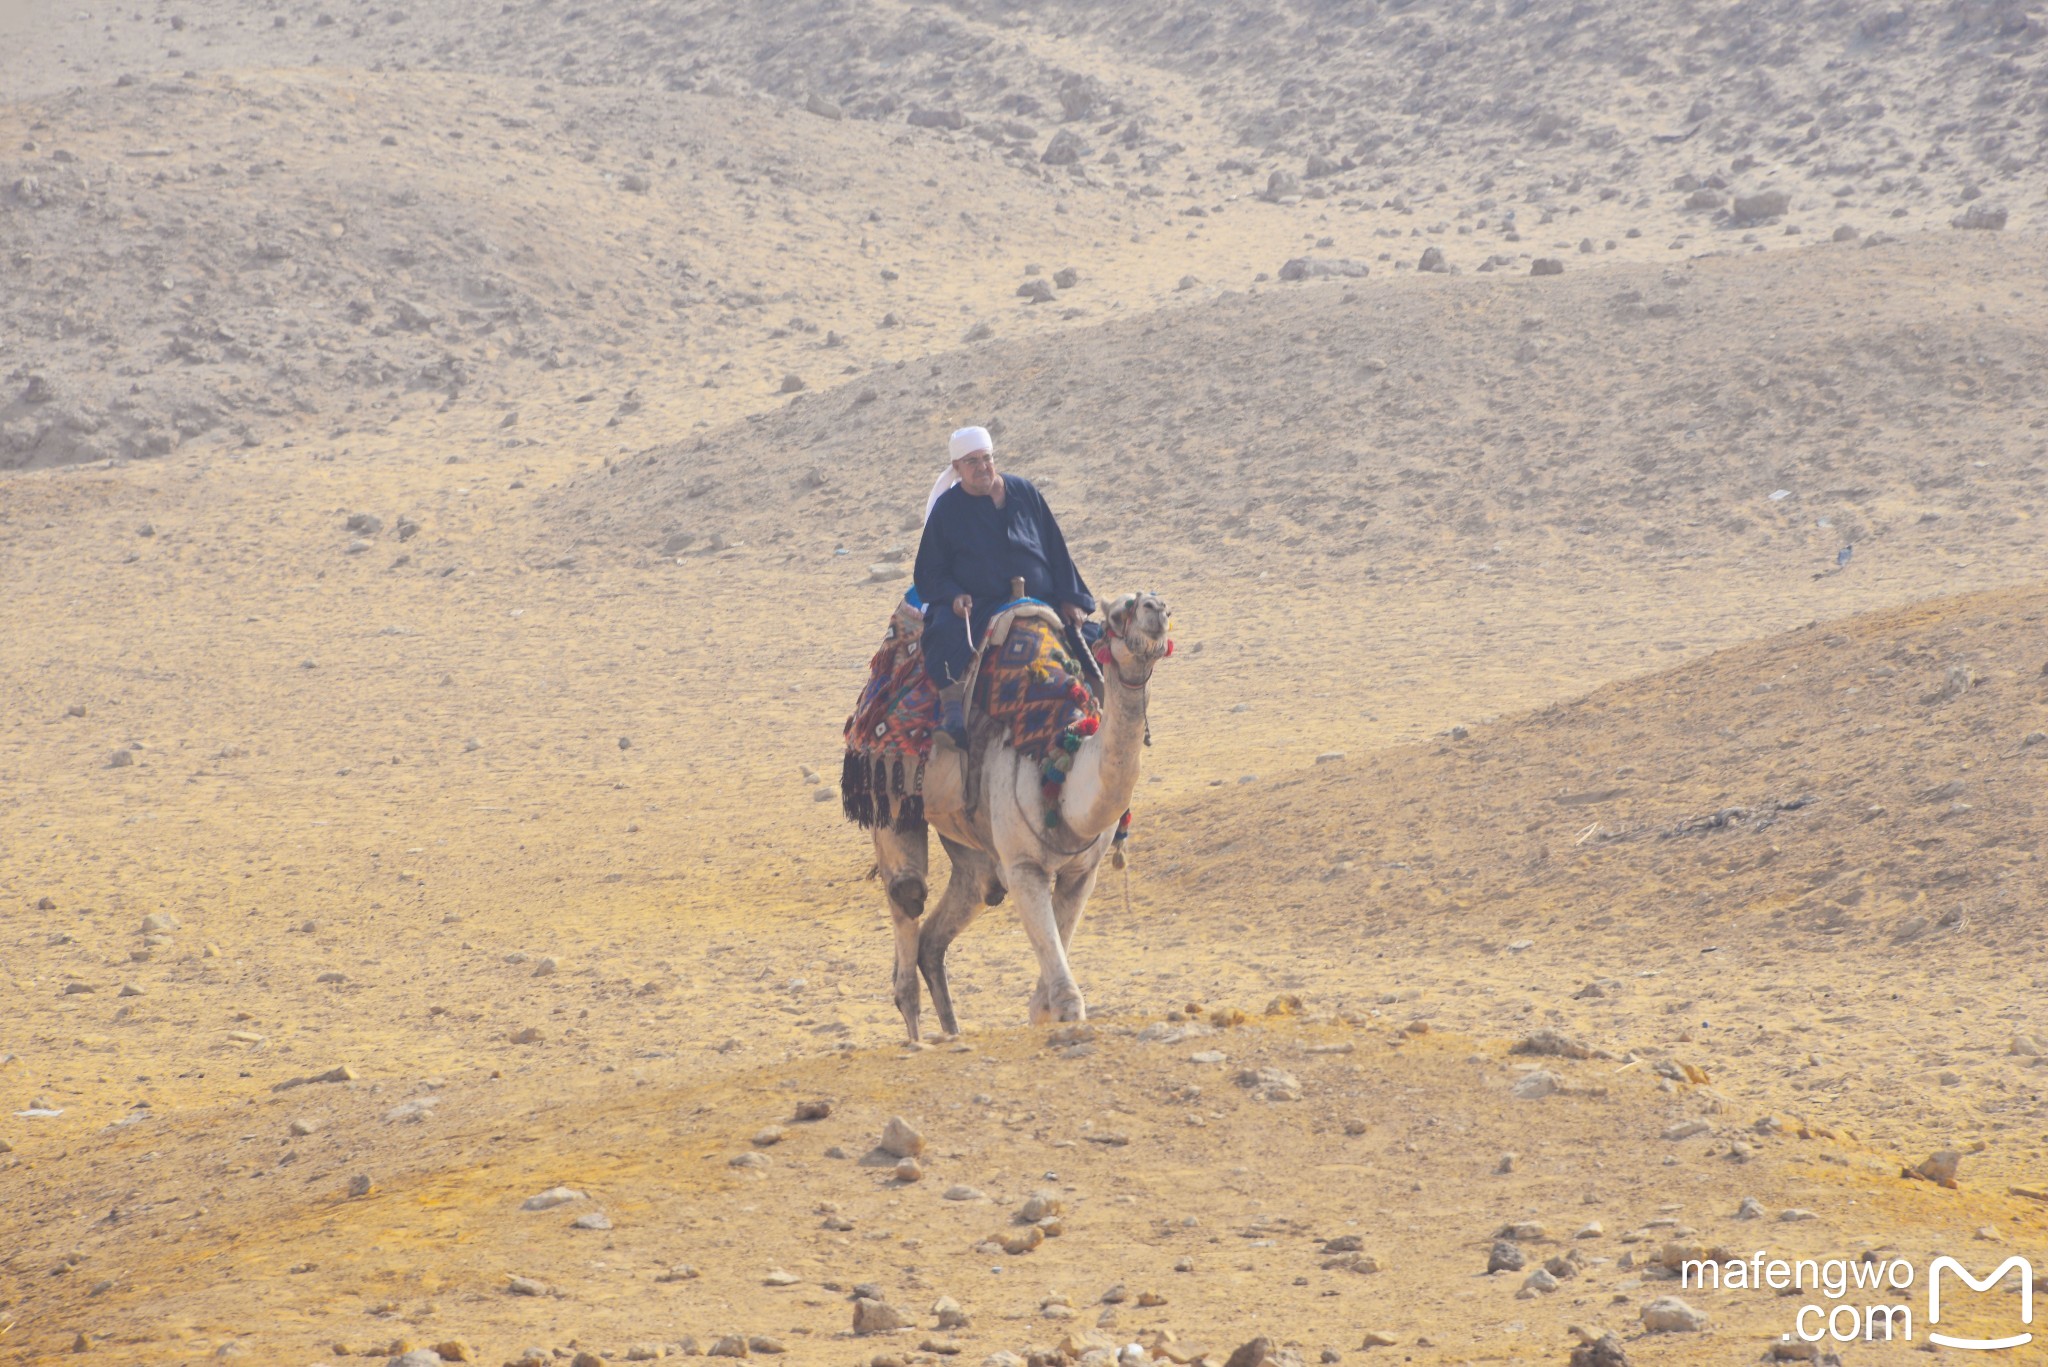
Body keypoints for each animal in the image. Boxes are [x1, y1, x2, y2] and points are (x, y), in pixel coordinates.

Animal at [872, 594, 1179, 1041]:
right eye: (1121, 612)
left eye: (1165, 609)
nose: (1155, 609)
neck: (1058, 762)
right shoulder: (1023, 865)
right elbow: (1064, 995)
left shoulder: (1082, 872)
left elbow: (1047, 988)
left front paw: (1043, 1013)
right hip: (888, 789)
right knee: (907, 896)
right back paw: (918, 1040)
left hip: (972, 848)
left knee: (953, 914)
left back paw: (953, 1032)